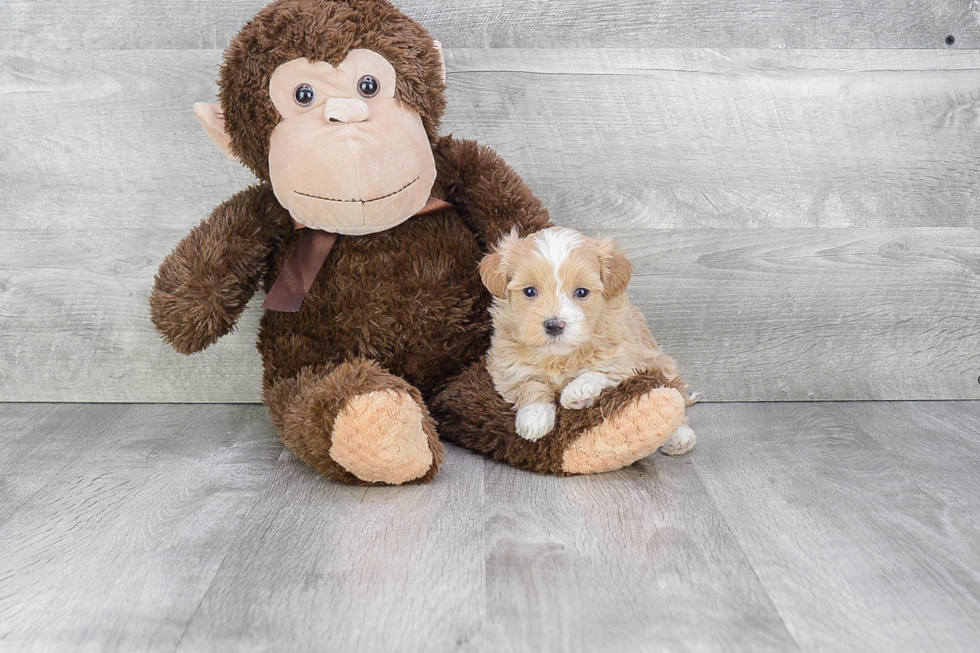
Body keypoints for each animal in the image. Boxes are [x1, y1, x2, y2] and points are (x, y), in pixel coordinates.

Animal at [476, 227, 692, 450]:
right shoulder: (506, 368)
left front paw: (579, 391)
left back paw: (680, 435)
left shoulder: (626, 359)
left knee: (675, 393)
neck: (559, 356)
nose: (554, 325)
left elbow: (600, 371)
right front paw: (534, 417)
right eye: (529, 291)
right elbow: (529, 384)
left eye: (581, 292)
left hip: (662, 362)